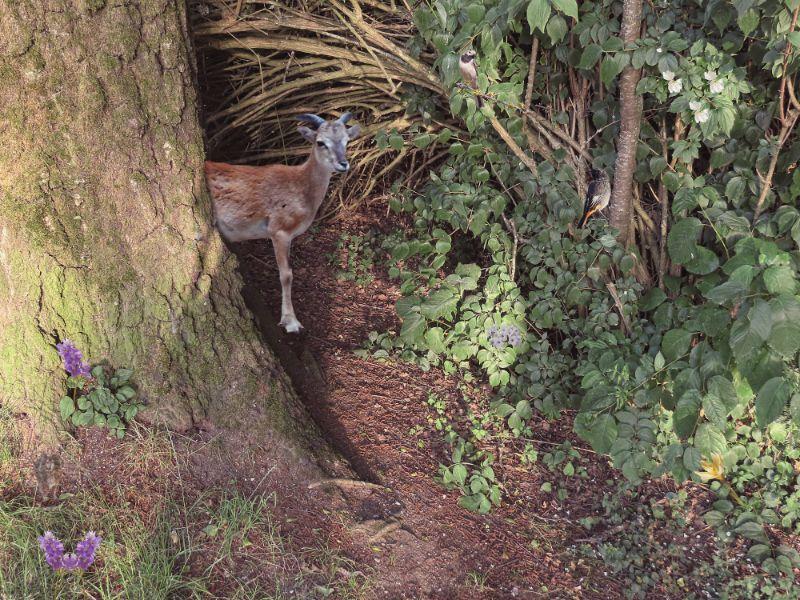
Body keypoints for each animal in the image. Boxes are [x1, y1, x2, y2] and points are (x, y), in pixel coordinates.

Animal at [205, 112, 360, 332]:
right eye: (321, 142)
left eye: (347, 140)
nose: (343, 163)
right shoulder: (279, 229)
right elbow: (286, 274)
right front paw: (291, 322)